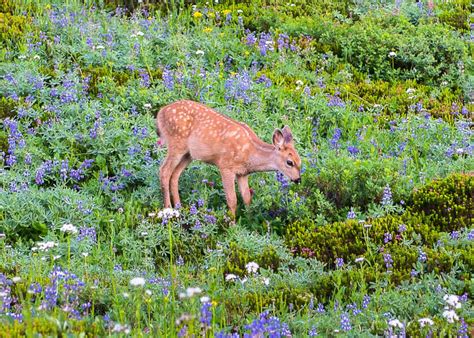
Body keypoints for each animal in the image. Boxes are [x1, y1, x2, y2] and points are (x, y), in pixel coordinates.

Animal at [157, 99, 302, 217]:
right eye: (289, 162)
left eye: (300, 161)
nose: (298, 180)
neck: (250, 153)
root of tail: (160, 112)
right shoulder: (225, 166)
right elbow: (232, 200)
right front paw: (232, 224)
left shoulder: (242, 173)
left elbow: (247, 197)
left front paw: (248, 221)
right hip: (176, 144)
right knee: (164, 171)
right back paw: (168, 209)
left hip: (188, 154)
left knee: (175, 175)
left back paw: (179, 207)